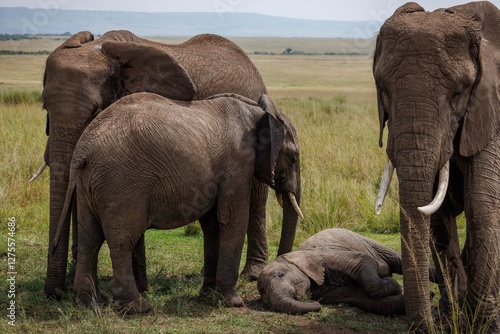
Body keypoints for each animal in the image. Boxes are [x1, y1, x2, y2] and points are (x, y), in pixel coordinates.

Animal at [51, 93, 300, 314]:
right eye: (294, 157)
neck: (258, 111)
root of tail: (82, 149)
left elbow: (212, 225)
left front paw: (207, 296)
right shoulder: (238, 164)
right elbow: (232, 219)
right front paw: (233, 302)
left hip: (87, 184)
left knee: (90, 239)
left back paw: (92, 303)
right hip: (119, 183)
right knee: (121, 242)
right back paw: (136, 308)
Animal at [258, 227, 410, 316]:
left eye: (281, 275)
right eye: (263, 291)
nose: (311, 300)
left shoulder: (328, 256)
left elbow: (363, 261)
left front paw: (394, 284)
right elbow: (371, 301)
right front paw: (399, 292)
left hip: (364, 240)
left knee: (395, 258)